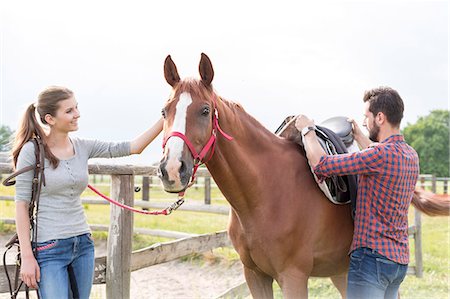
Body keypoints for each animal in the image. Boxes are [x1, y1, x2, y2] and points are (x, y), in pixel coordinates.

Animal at [158, 52, 450, 298]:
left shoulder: (293, 277)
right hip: (342, 271)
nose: (171, 169)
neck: (264, 192)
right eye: (164, 111)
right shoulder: (254, 275)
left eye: (205, 110)